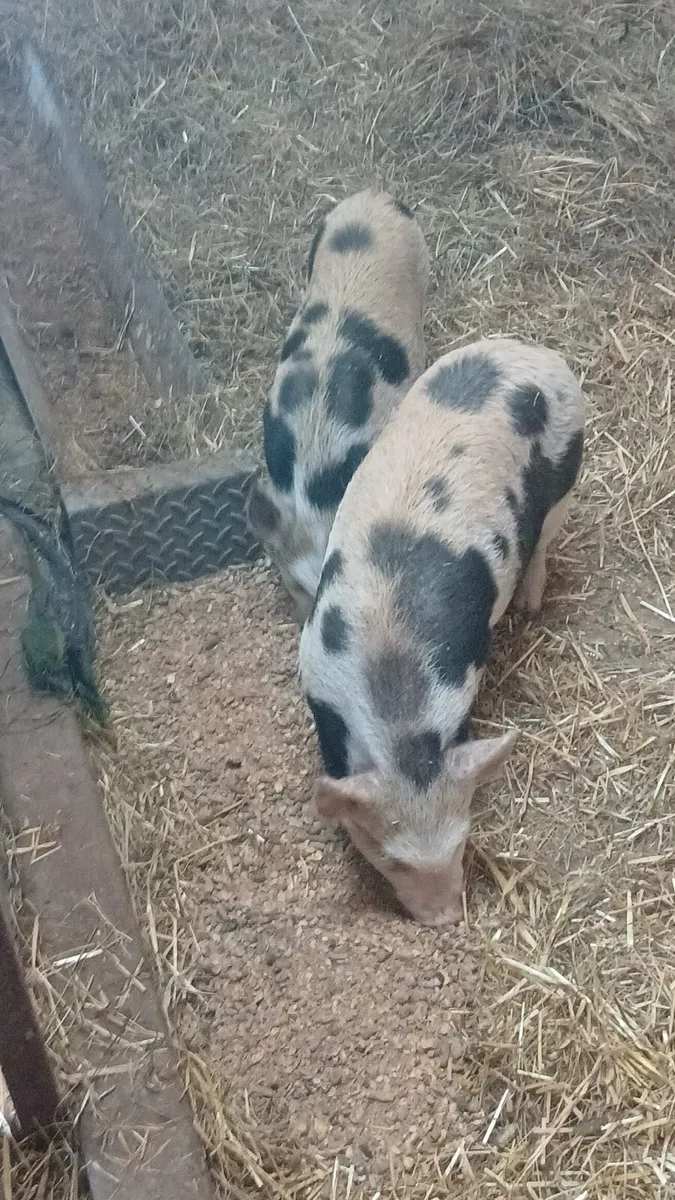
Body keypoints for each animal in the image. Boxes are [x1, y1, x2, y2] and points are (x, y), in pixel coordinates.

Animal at [299, 337, 585, 926]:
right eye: (390, 857)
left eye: (461, 839)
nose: (446, 918)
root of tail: (534, 351)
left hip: (569, 462)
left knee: (545, 537)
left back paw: (531, 602)